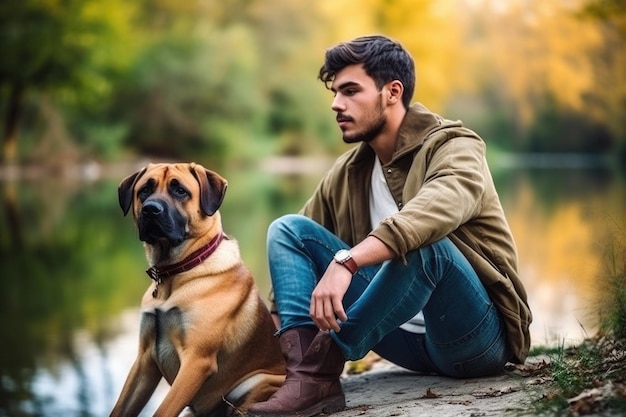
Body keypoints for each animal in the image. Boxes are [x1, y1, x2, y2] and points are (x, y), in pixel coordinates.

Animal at [110, 162, 286, 416]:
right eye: (145, 190)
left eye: (180, 191)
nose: (151, 209)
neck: (175, 273)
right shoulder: (144, 361)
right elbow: (121, 408)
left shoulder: (196, 361)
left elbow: (163, 410)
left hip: (256, 383)